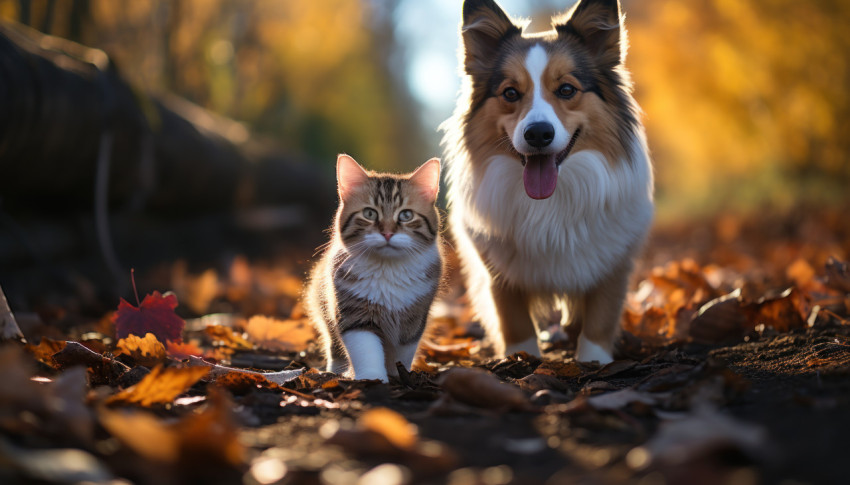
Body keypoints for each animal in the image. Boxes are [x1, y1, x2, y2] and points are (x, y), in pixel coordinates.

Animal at [304, 153, 444, 380]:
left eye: (406, 215)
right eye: (369, 214)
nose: (387, 233)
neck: (387, 269)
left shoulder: (414, 318)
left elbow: (401, 351)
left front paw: (397, 373)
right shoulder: (354, 313)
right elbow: (366, 348)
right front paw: (372, 377)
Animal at [440, 0, 652, 362]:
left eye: (566, 90)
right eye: (510, 93)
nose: (538, 134)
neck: (549, 201)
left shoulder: (613, 263)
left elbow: (600, 318)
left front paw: (592, 361)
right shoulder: (498, 273)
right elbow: (515, 324)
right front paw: (521, 359)